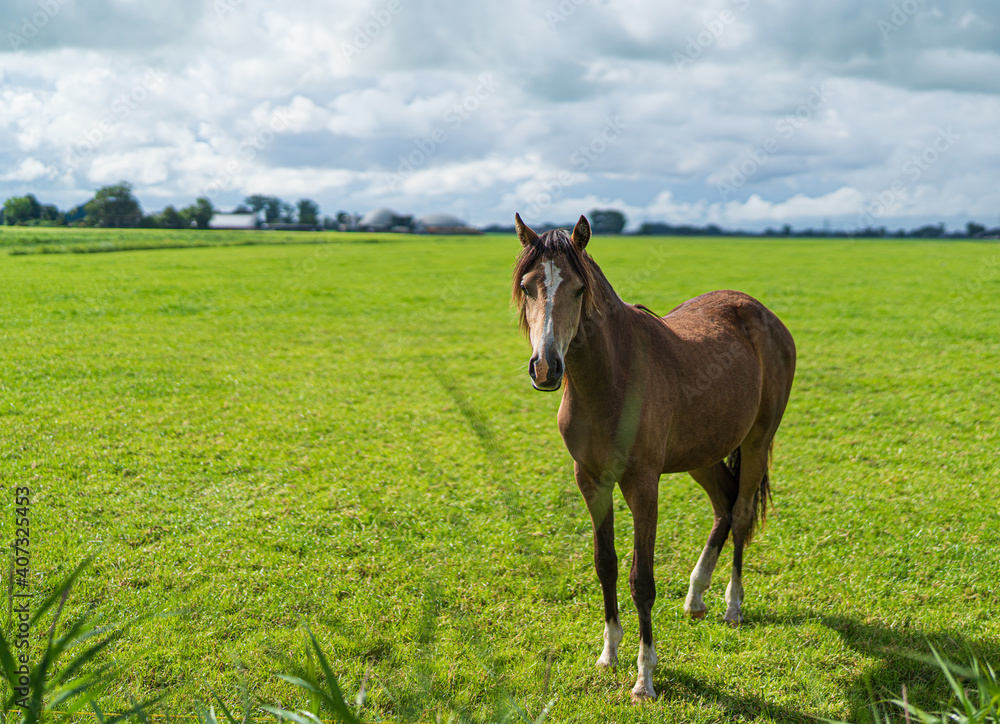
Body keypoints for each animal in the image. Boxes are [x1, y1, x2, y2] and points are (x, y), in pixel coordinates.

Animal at [511, 214, 796, 701]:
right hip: (703, 452)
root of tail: (763, 314)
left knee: (740, 513)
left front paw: (645, 678)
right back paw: (696, 596)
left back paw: (732, 605)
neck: (610, 380)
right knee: (723, 505)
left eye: (579, 290)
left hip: (758, 440)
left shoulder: (643, 485)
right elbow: (605, 564)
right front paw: (609, 653)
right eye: (529, 286)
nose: (546, 367)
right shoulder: (591, 480)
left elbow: (641, 580)